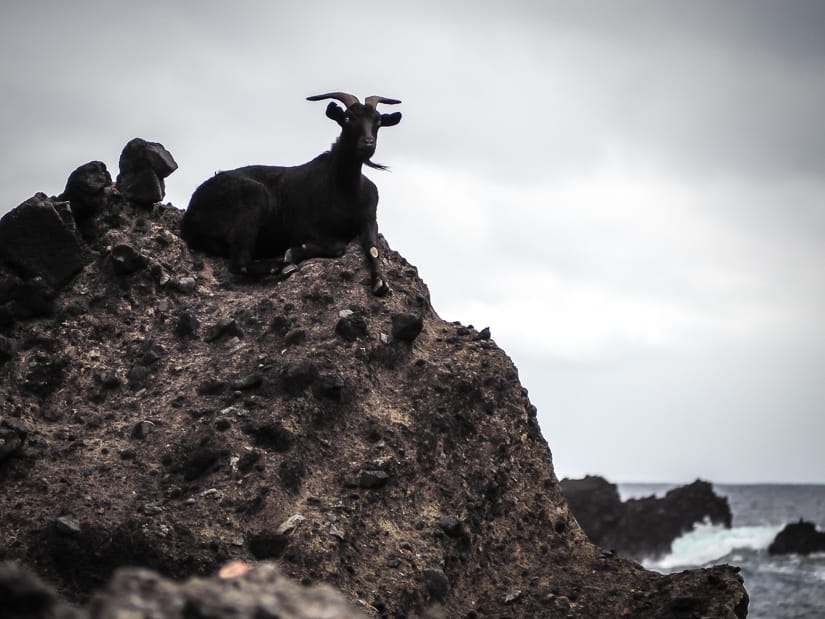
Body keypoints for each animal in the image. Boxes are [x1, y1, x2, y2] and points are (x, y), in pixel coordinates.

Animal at [180, 92, 402, 295]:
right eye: (347, 119)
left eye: (378, 121)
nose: (368, 143)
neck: (346, 190)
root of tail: (190, 215)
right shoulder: (304, 229)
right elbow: (338, 246)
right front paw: (292, 254)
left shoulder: (369, 217)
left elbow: (373, 247)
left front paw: (381, 283)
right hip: (253, 198)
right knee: (238, 263)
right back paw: (278, 266)